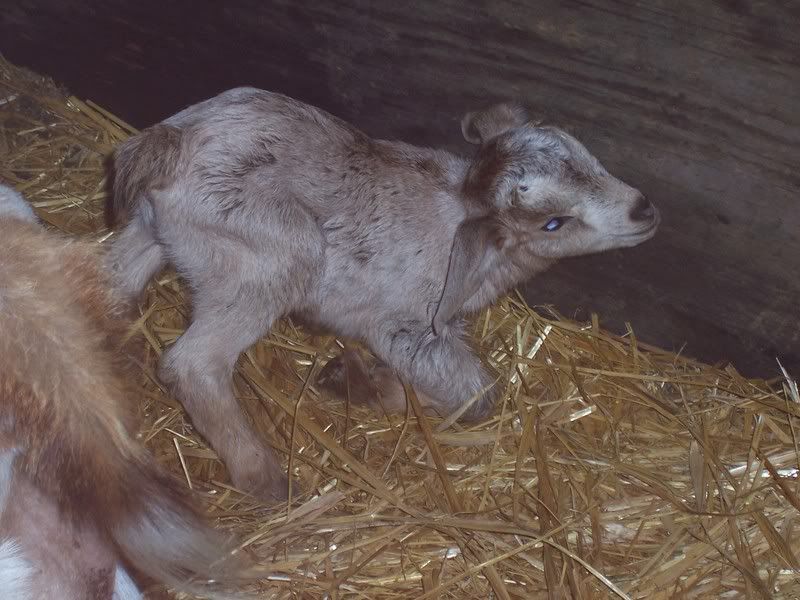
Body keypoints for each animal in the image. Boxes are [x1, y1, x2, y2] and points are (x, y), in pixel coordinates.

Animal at [105, 90, 660, 500]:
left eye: (587, 157)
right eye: (553, 223)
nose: (644, 210)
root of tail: (172, 143)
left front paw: (348, 377)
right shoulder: (406, 326)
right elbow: (477, 395)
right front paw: (361, 384)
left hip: (161, 232)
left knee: (113, 278)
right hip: (274, 254)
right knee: (193, 364)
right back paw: (265, 478)